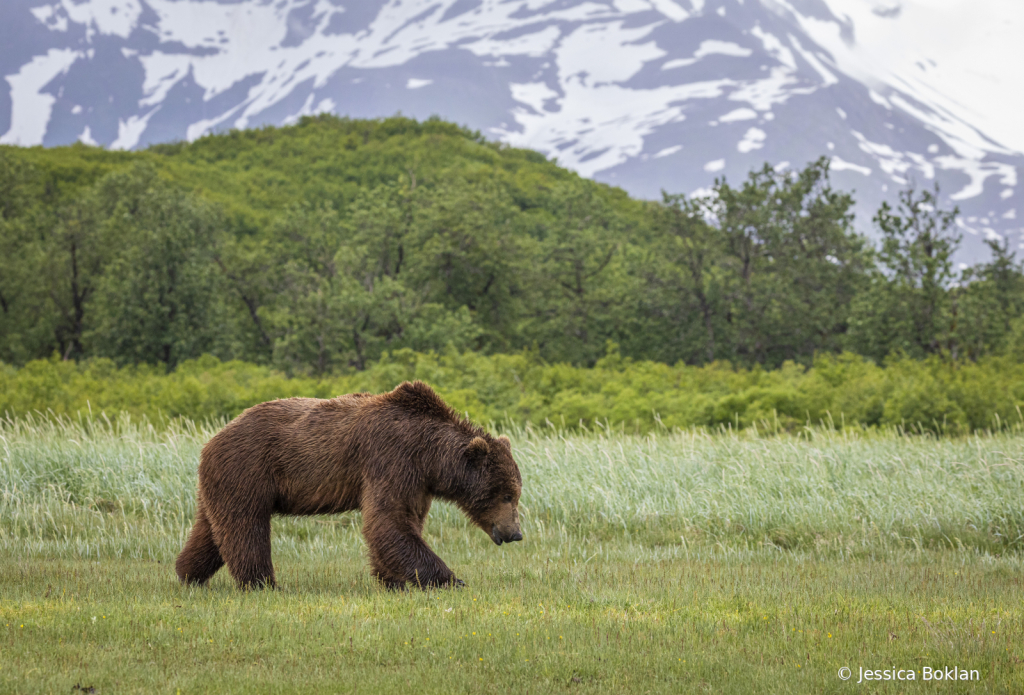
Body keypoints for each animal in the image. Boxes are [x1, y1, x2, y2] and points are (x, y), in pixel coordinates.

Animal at [174, 382, 520, 589]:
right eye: (507, 495)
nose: (515, 533)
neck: (429, 455)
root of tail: (212, 440)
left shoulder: (418, 481)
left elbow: (403, 521)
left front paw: (391, 579)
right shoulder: (391, 459)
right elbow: (388, 521)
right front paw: (450, 579)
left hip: (222, 483)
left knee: (212, 530)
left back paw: (188, 573)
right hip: (248, 470)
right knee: (246, 528)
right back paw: (262, 582)